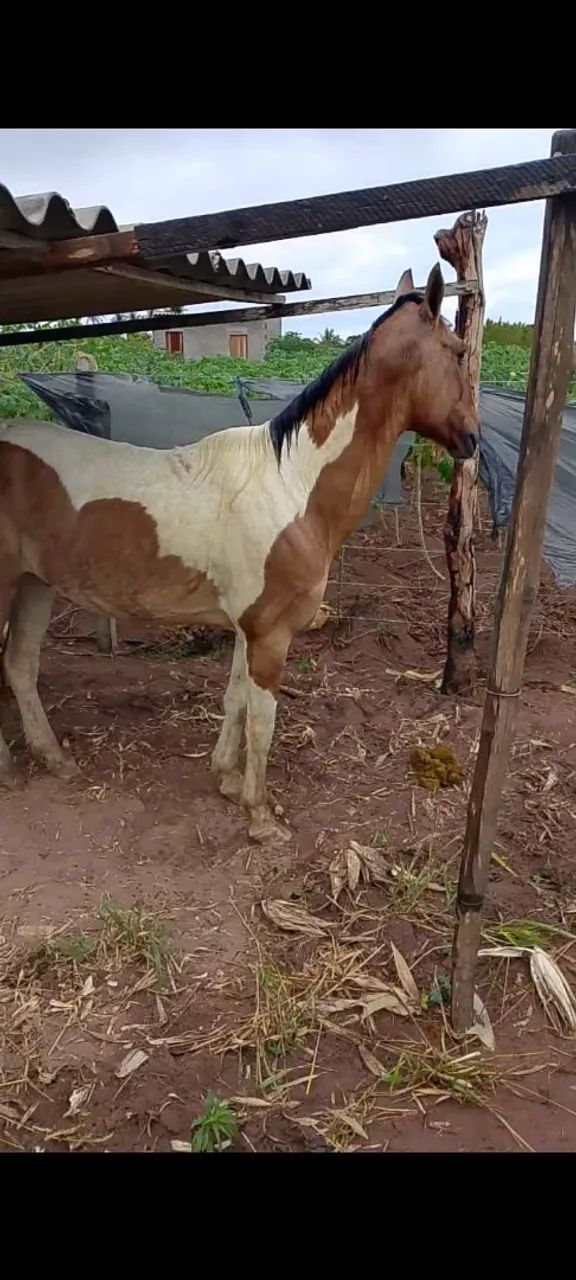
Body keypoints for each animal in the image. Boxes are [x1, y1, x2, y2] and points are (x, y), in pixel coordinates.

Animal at [0, 265, 478, 843]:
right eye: (458, 351)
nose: (473, 440)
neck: (292, 486)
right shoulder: (270, 633)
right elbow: (261, 718)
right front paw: (260, 815)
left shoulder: (248, 627)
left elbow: (233, 701)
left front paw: (226, 779)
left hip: (34, 584)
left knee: (20, 665)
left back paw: (55, 759)